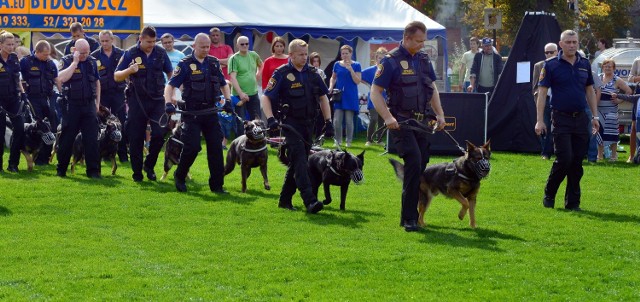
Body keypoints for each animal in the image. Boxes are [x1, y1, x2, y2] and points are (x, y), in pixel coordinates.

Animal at [114, 26, 171, 182]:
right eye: (149, 41)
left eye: (153, 42)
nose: (152, 45)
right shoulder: (126, 56)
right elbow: (118, 73)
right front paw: (132, 69)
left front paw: (149, 168)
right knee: (136, 137)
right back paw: (137, 174)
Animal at [165, 33, 232, 193]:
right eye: (204, 47)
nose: (207, 50)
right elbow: (171, 84)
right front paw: (169, 106)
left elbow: (222, 82)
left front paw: (228, 105)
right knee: (188, 152)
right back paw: (179, 180)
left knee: (214, 146)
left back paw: (216, 185)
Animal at [262, 39, 338, 214]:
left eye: (305, 54)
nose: (305, 58)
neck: (298, 68)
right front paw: (312, 202)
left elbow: (323, 96)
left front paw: (329, 127)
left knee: (293, 166)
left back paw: (285, 201)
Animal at [370, 22, 444, 232]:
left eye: (421, 41)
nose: (422, 47)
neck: (409, 54)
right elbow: (377, 89)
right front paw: (409, 220)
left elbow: (433, 87)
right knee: (415, 165)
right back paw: (410, 219)